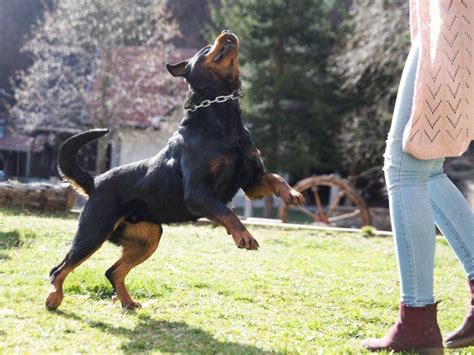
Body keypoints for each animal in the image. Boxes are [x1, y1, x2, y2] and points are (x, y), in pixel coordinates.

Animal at [44, 31, 304, 312]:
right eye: (205, 48)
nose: (226, 32)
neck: (222, 116)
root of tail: (96, 180)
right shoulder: (198, 192)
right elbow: (228, 213)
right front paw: (243, 236)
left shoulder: (250, 181)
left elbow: (275, 177)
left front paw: (292, 194)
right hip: (94, 232)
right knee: (59, 268)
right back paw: (54, 297)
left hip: (148, 236)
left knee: (112, 271)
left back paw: (127, 302)